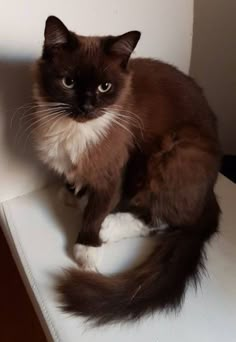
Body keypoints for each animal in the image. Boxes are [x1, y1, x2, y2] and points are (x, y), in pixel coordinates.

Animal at [32, 16, 220, 324]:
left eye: (105, 87)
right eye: (68, 82)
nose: (86, 106)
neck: (76, 129)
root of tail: (211, 191)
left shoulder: (114, 170)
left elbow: (96, 211)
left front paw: (87, 249)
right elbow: (73, 177)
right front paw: (71, 193)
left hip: (176, 149)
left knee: (167, 219)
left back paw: (110, 227)